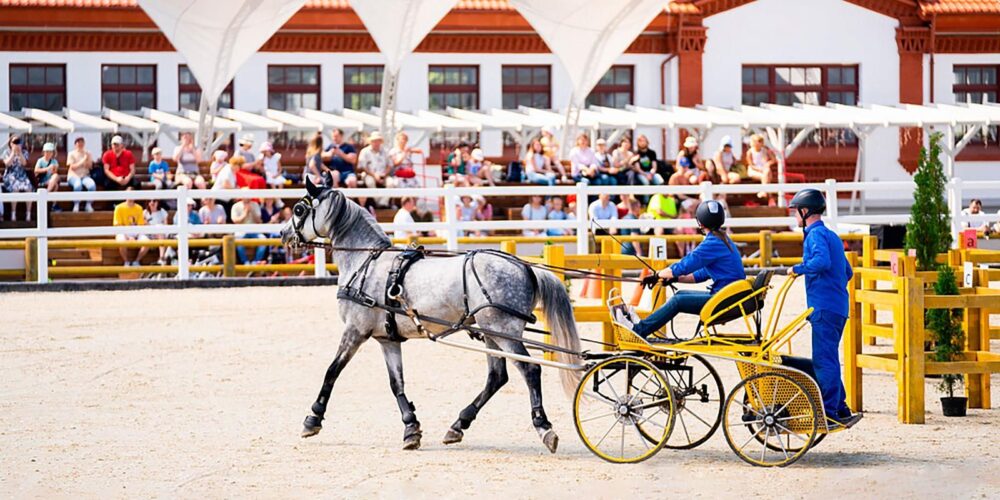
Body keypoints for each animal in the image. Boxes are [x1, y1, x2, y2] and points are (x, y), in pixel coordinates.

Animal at [278, 180, 584, 454]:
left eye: (299, 209)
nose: (283, 234)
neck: (365, 263)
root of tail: (524, 266)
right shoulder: (387, 339)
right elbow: (397, 384)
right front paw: (411, 429)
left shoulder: (355, 330)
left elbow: (332, 371)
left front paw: (313, 418)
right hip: (491, 333)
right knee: (497, 377)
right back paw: (458, 425)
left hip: (503, 330)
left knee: (530, 371)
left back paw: (544, 427)